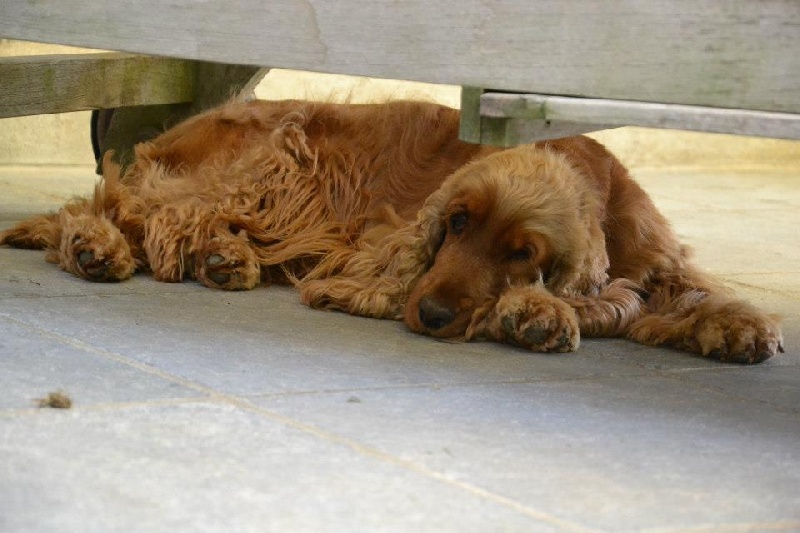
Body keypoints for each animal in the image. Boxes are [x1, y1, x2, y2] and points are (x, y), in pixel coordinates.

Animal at [0, 98, 784, 364]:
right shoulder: (378, 242)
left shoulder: (652, 249)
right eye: (455, 223)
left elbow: (683, 290)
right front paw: (536, 312)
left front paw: (736, 324)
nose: (430, 313)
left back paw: (226, 259)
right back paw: (98, 247)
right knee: (124, 209)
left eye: (521, 252)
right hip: (280, 155)